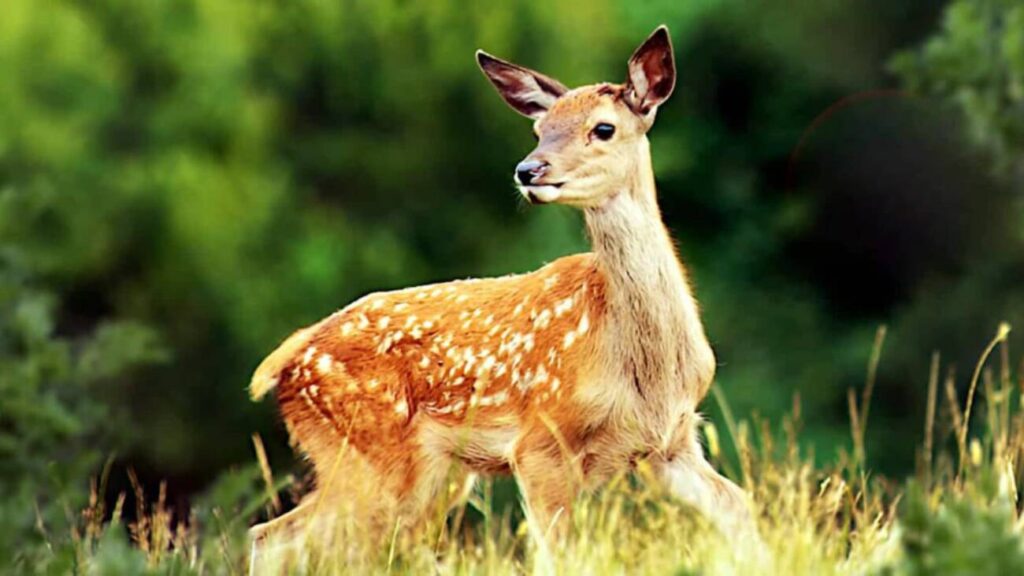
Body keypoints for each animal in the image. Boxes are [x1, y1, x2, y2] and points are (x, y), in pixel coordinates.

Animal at [249, 24, 753, 561]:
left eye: (603, 129)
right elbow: (560, 555)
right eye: (540, 130)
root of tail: (287, 360)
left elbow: (738, 507)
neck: (643, 366)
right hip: (370, 457)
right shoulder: (539, 441)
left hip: (431, 475)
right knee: (273, 536)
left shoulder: (669, 443)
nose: (529, 170)